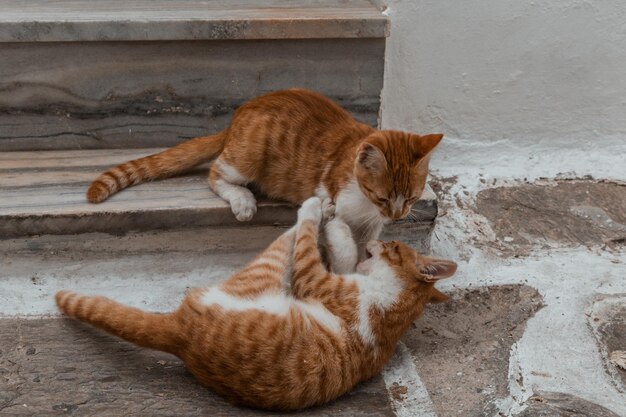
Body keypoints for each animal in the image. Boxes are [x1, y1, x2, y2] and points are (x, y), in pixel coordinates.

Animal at [56, 197, 456, 410]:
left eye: (393, 245)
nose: (379, 242)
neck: (394, 305)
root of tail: (181, 335)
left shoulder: (317, 280)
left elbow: (316, 243)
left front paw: (334, 221)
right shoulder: (342, 274)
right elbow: (343, 253)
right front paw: (343, 228)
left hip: (265, 270)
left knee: (293, 232)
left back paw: (315, 204)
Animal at [85, 89, 442, 268]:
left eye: (410, 198)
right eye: (382, 197)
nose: (396, 215)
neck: (367, 208)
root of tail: (238, 116)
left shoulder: (371, 225)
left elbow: (367, 242)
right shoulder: (334, 203)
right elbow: (342, 244)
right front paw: (347, 264)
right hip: (249, 155)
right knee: (215, 173)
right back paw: (242, 200)